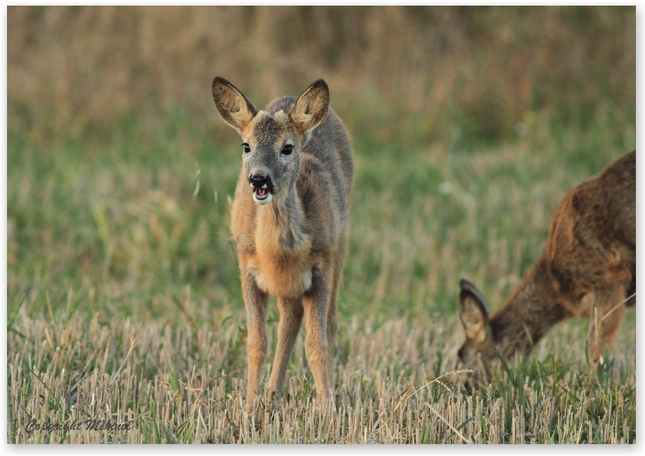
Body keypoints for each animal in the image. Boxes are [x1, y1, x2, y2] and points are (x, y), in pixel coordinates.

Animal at [211, 77, 352, 410]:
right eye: (246, 146)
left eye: (287, 148)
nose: (258, 179)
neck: (280, 256)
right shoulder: (247, 267)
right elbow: (256, 343)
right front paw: (250, 408)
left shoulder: (321, 267)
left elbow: (317, 344)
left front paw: (328, 410)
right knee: (290, 319)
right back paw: (272, 393)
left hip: (340, 248)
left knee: (329, 325)